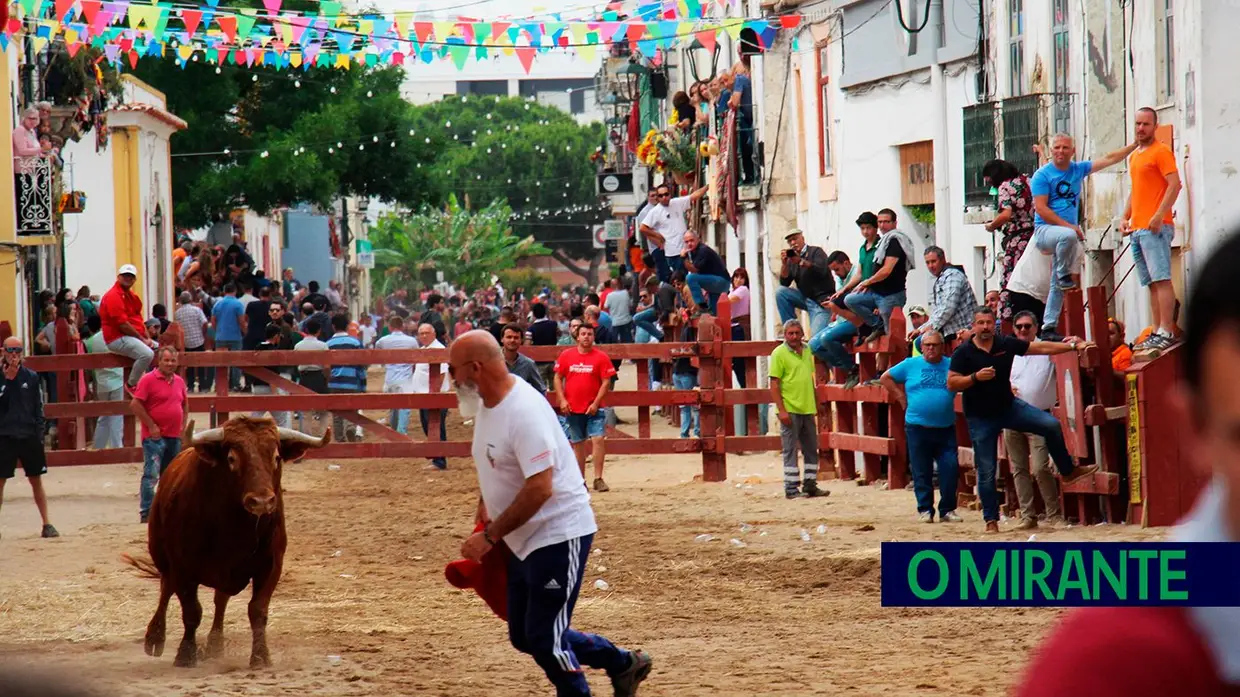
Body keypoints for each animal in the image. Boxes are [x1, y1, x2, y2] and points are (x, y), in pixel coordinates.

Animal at [122, 414, 329, 664]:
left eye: (276, 457)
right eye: (231, 458)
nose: (261, 501)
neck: (235, 527)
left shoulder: (271, 566)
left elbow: (257, 610)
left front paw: (260, 657)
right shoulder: (183, 567)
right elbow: (192, 611)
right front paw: (186, 654)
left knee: (220, 600)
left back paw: (215, 643)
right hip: (162, 555)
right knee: (166, 588)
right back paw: (155, 637)